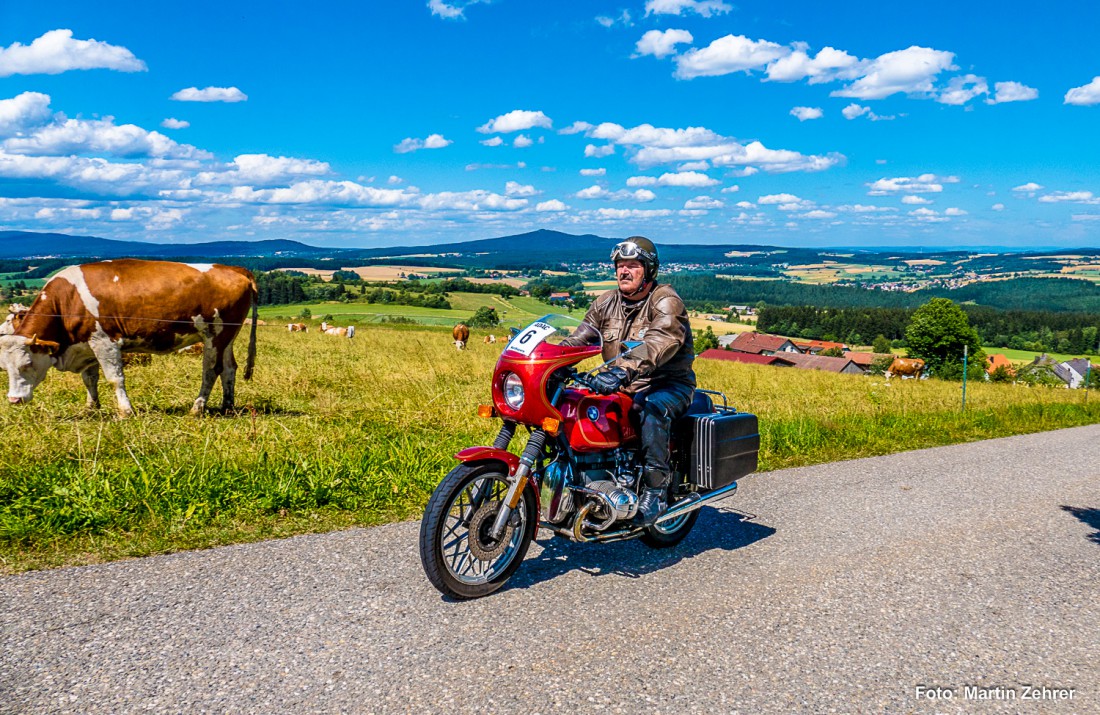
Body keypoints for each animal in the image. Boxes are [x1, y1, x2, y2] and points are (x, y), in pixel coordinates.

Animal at [0, 258, 256, 415]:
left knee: (211, 370)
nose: (13, 400)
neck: (66, 301)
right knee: (229, 368)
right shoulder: (86, 344)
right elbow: (89, 379)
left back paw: (197, 407)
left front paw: (126, 411)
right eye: (5, 368)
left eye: (27, 364)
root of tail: (235, 269)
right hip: (227, 336)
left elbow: (115, 378)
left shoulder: (105, 341)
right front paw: (91, 407)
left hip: (215, 334)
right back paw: (227, 405)